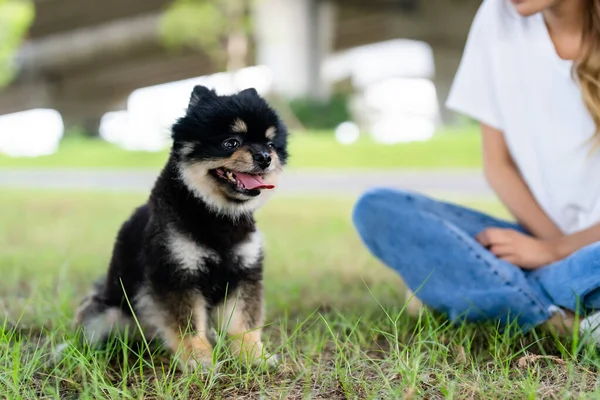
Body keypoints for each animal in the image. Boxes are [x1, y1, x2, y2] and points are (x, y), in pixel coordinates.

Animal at [69, 84, 288, 372]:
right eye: (231, 142)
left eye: (271, 145)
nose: (265, 157)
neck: (215, 217)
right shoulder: (175, 273)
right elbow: (188, 326)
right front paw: (199, 358)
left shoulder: (244, 273)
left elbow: (243, 323)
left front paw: (253, 355)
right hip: (107, 314)